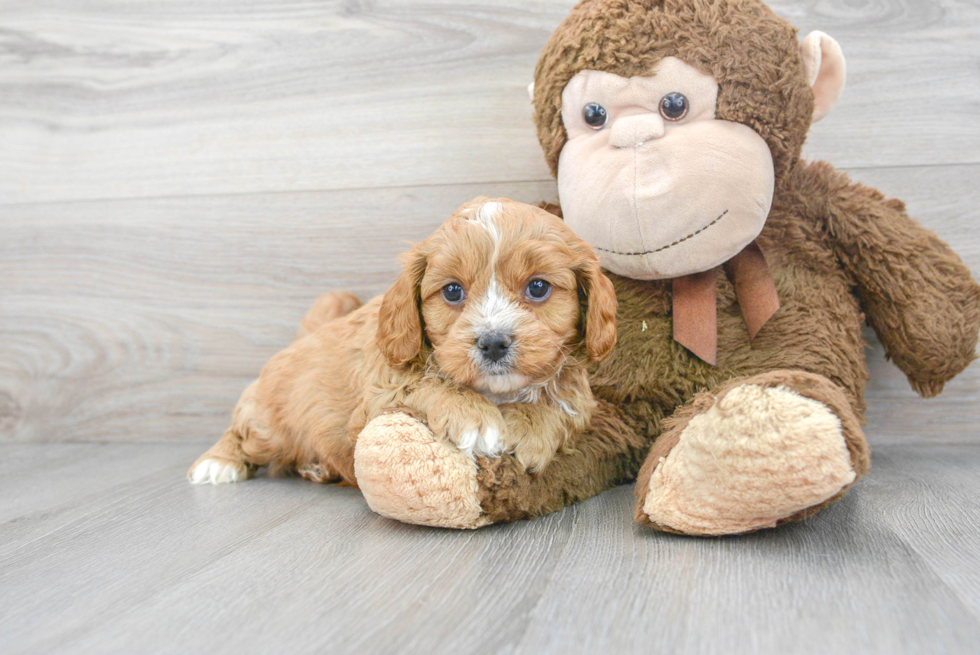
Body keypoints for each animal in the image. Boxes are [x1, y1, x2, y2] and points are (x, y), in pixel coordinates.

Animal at [189, 199, 616, 486]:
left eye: (538, 287)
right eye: (453, 291)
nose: (493, 343)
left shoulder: (581, 397)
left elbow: (562, 405)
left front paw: (528, 429)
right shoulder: (379, 392)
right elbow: (423, 383)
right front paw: (476, 419)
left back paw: (316, 466)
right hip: (267, 421)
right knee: (242, 432)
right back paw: (218, 463)